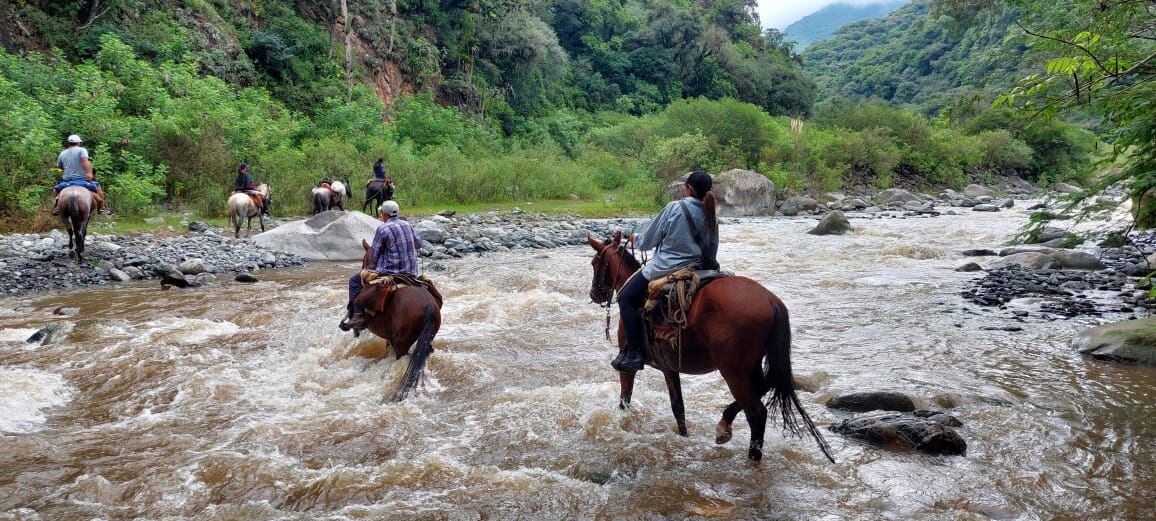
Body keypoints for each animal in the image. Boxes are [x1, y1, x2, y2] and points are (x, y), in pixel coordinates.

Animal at [587, 234, 832, 462]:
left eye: (594, 262)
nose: (594, 294)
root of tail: (772, 301)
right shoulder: (669, 368)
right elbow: (678, 408)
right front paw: (684, 438)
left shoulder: (628, 367)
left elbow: (624, 401)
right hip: (751, 367)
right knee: (768, 384)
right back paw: (724, 426)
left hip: (733, 372)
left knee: (756, 413)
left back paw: (751, 456)